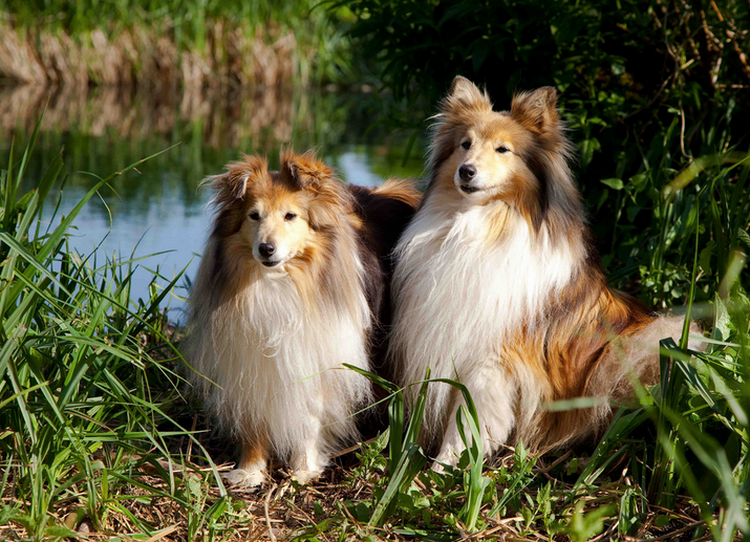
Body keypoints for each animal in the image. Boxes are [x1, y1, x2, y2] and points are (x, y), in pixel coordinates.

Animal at [181, 151, 418, 486]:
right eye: (254, 216)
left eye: (290, 216)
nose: (266, 249)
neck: (277, 282)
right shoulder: (249, 360)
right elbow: (255, 418)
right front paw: (250, 471)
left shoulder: (317, 355)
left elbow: (310, 417)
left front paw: (303, 469)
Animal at [394, 76, 700, 468]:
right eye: (465, 144)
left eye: (503, 149)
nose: (466, 171)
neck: (481, 225)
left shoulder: (493, 361)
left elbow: (468, 422)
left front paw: (441, 468)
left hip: (642, 345)